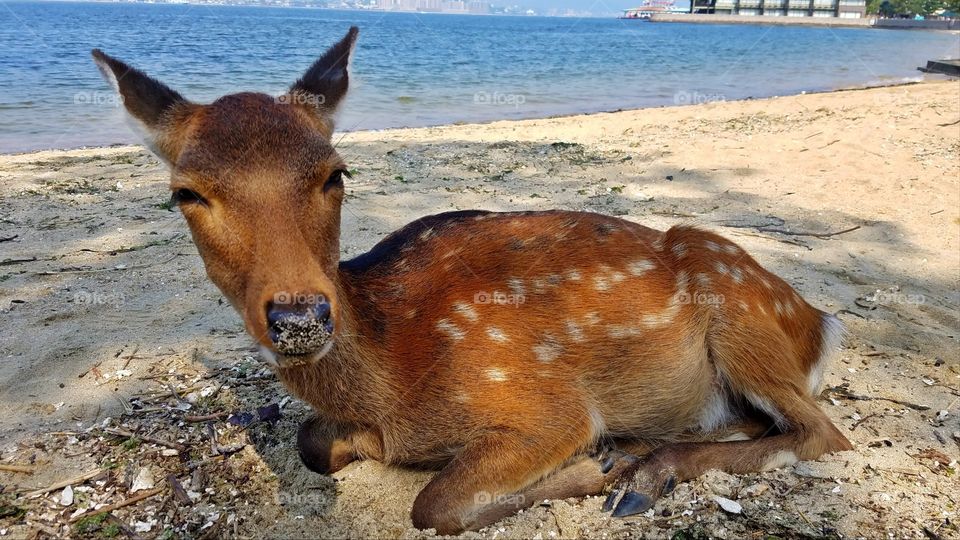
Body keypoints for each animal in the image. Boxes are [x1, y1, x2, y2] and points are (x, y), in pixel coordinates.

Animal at [92, 27, 856, 532]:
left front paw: (597, 466)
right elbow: (313, 442)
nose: (299, 316)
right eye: (186, 192)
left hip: (736, 307)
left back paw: (645, 470)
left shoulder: (543, 402)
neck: (392, 373)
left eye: (335, 172)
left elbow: (434, 505)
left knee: (824, 433)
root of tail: (819, 321)